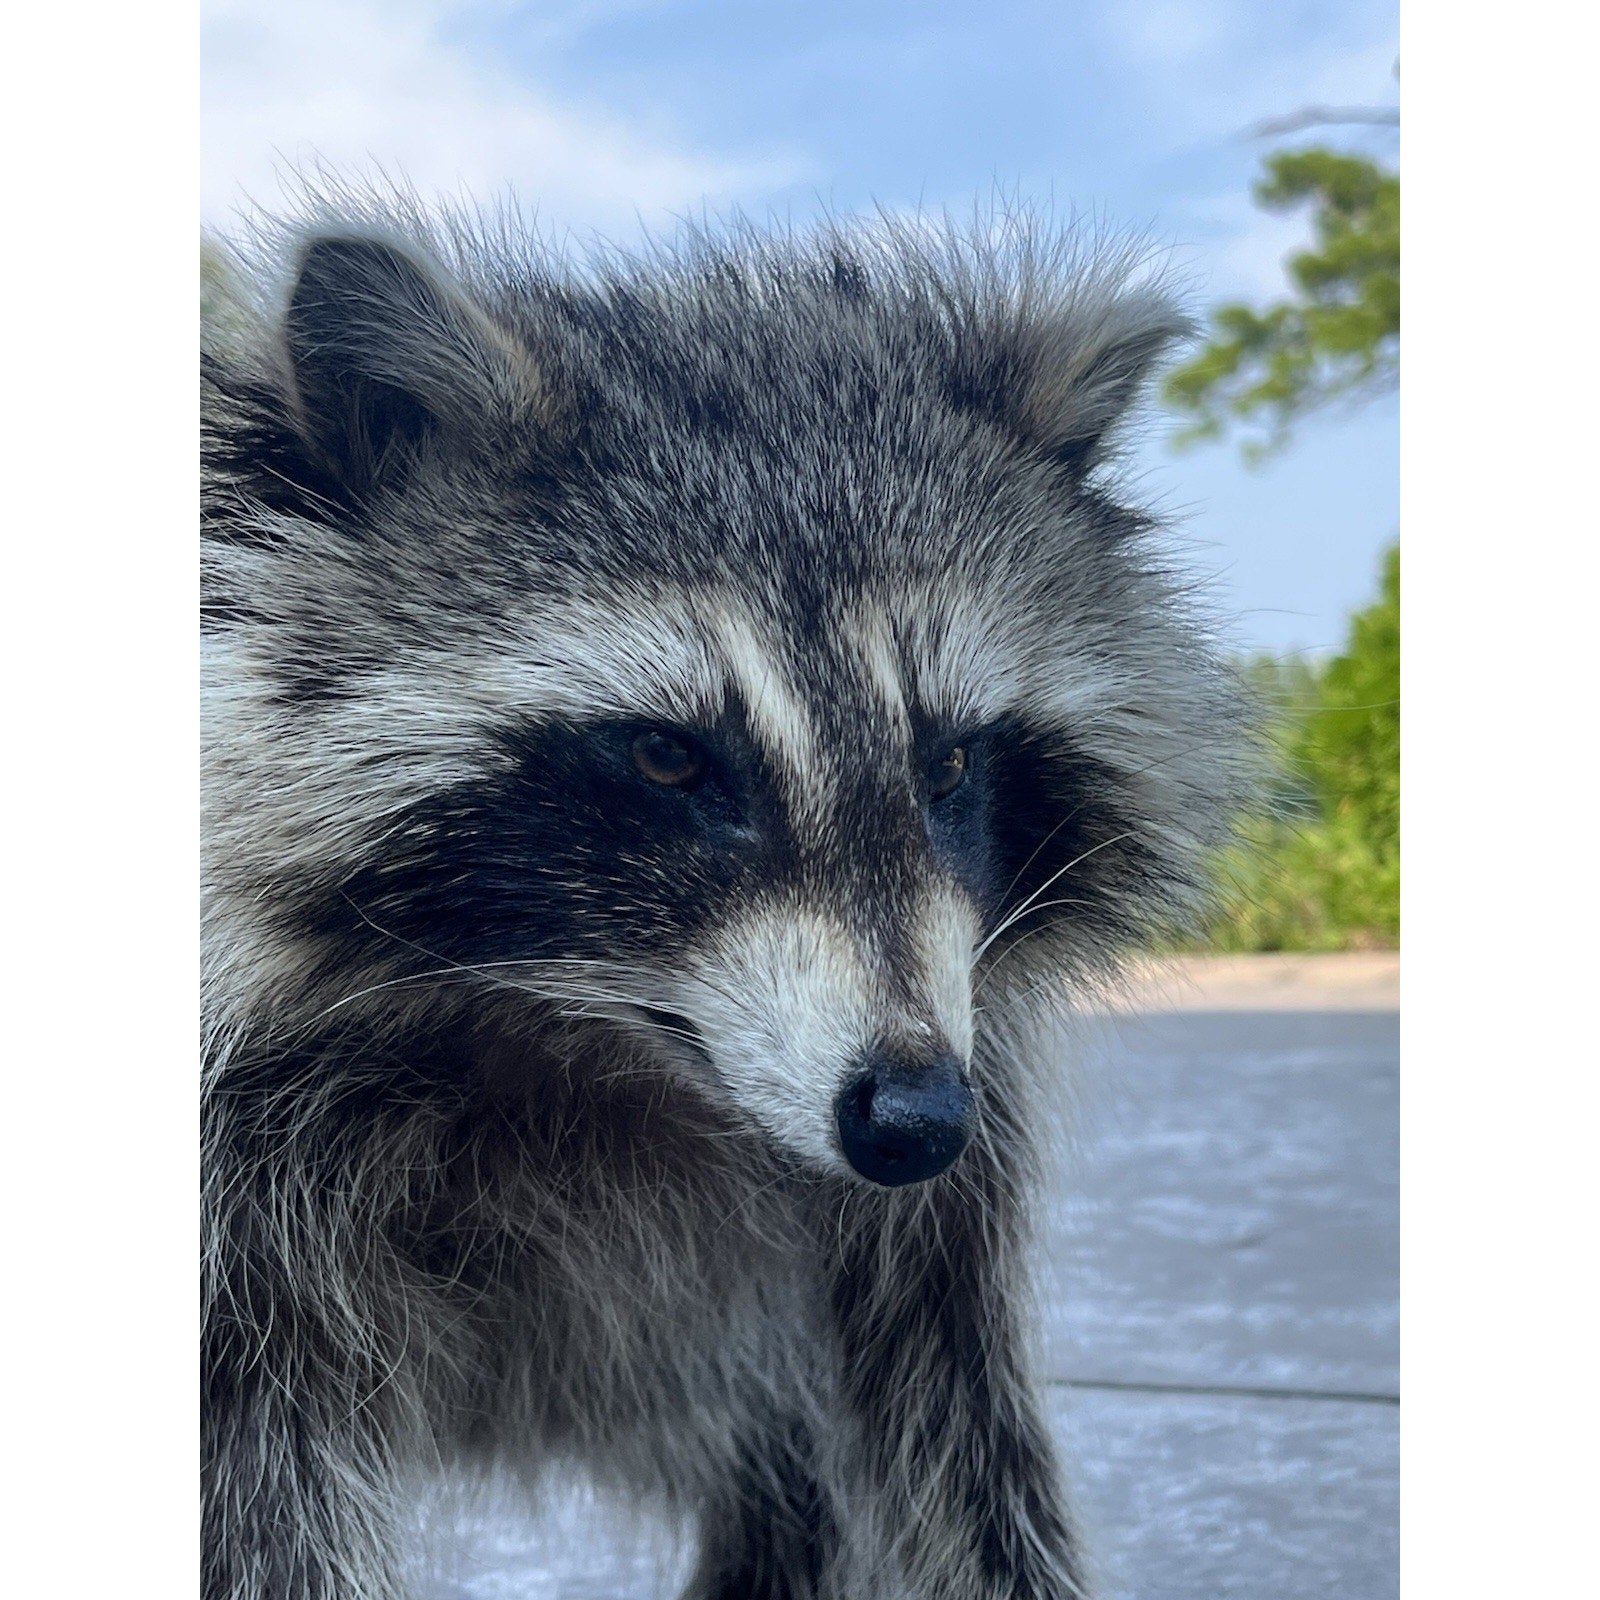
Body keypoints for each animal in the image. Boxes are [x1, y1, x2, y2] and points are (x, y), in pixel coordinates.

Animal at [201, 195, 1248, 1600]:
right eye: (668, 757)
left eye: (949, 763)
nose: (913, 1119)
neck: (585, 1042)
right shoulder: (240, 1186)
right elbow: (257, 1488)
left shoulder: (928, 1183)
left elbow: (950, 1435)